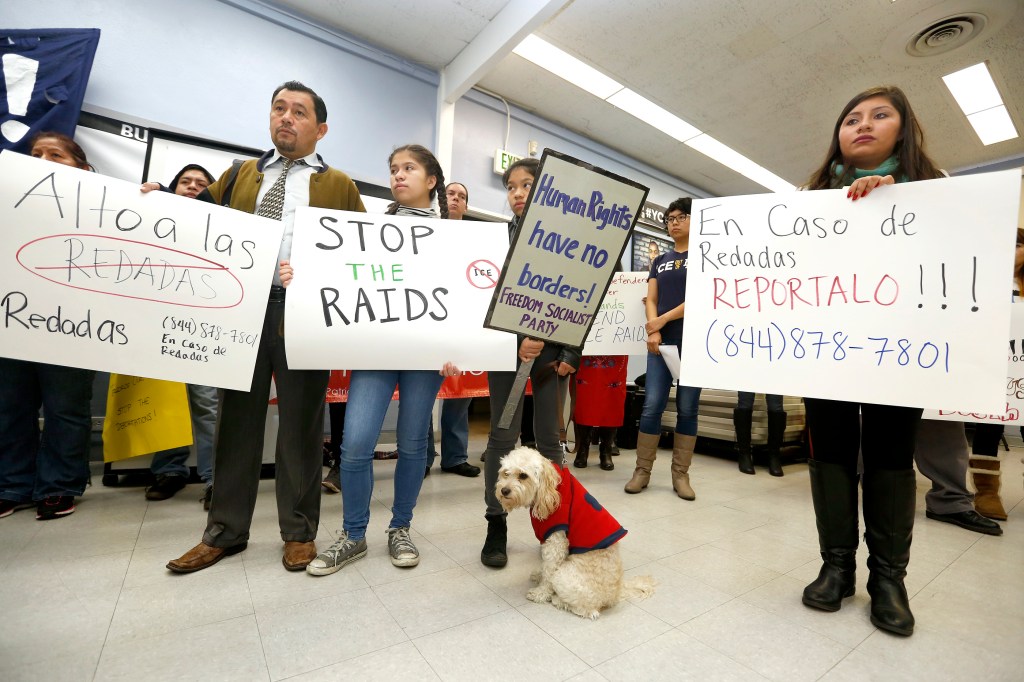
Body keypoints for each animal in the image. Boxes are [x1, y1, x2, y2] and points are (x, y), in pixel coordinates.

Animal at [495, 446, 655, 614]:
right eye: (505, 473)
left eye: (523, 475)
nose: (504, 490)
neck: (551, 490)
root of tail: (617, 594)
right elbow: (545, 566)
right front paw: (539, 574)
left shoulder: (556, 542)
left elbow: (549, 570)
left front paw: (541, 593)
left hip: (564, 576)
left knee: (588, 610)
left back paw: (558, 600)